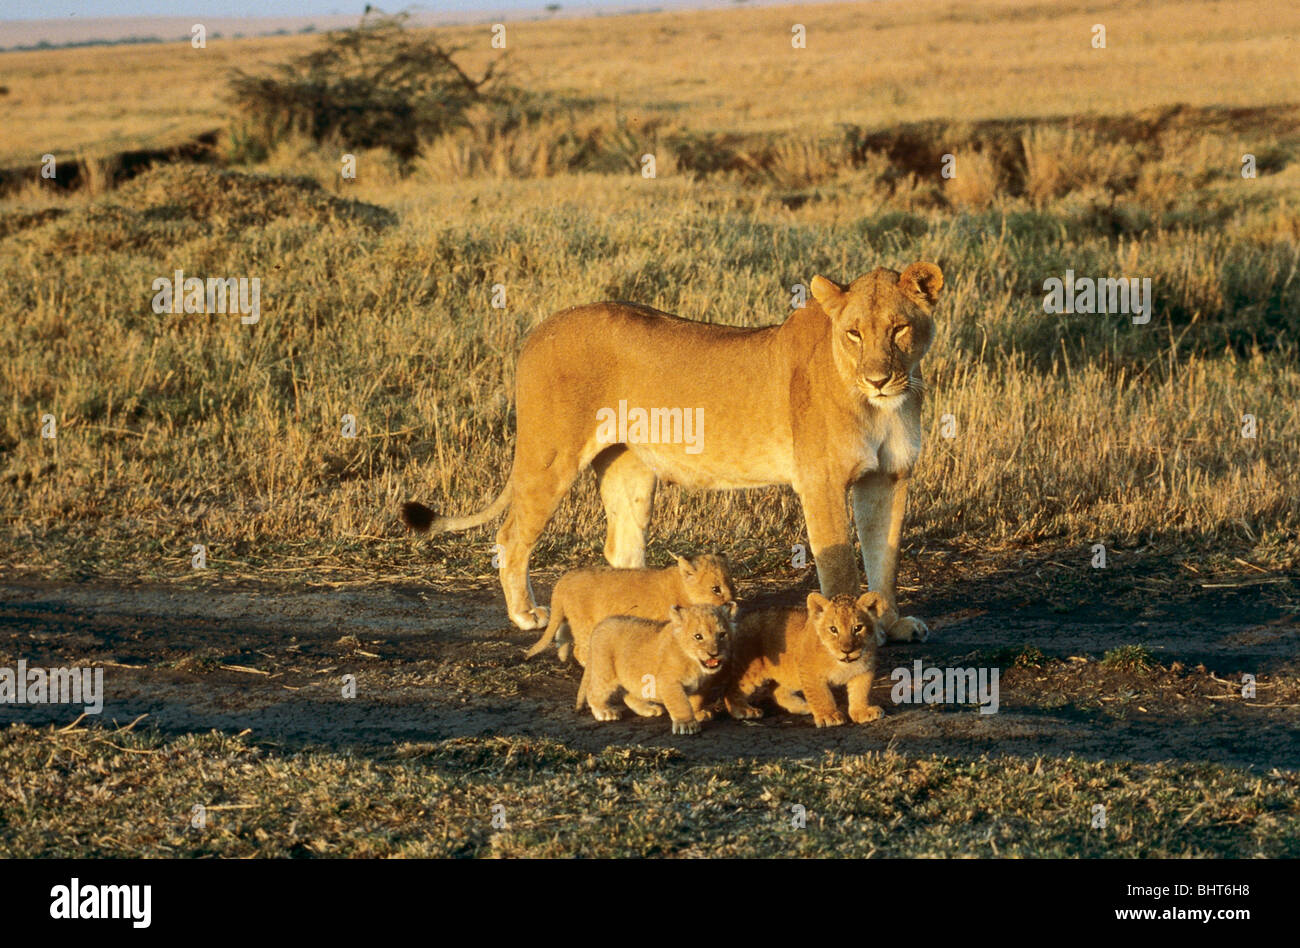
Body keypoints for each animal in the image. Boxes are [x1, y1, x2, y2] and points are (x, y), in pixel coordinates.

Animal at [400, 262, 942, 642]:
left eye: (898, 329)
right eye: (853, 333)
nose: (878, 378)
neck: (881, 406)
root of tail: (538, 330)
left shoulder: (890, 478)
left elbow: (885, 557)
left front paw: (891, 624)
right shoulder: (821, 480)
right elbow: (841, 565)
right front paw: (846, 632)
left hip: (629, 468)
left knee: (620, 547)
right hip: (549, 454)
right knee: (511, 535)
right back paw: (526, 614)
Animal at [523, 553, 735, 665]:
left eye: (732, 585)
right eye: (716, 589)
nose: (732, 603)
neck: (682, 588)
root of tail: (564, 579)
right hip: (585, 624)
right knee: (580, 651)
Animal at [576, 603, 736, 735]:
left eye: (722, 634)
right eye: (698, 636)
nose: (714, 653)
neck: (695, 664)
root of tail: (602, 623)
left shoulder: (700, 686)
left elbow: (696, 700)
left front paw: (699, 713)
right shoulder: (669, 682)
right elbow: (680, 703)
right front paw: (686, 724)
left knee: (628, 694)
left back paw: (649, 709)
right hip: (605, 672)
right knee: (594, 691)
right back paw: (604, 711)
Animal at [725, 592, 888, 728]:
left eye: (858, 628)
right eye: (833, 629)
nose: (847, 651)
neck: (842, 664)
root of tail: (744, 619)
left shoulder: (864, 671)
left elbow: (860, 692)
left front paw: (862, 712)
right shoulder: (810, 672)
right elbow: (821, 695)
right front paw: (829, 716)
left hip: (789, 674)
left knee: (777, 692)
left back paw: (803, 706)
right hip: (750, 668)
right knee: (732, 687)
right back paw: (744, 710)